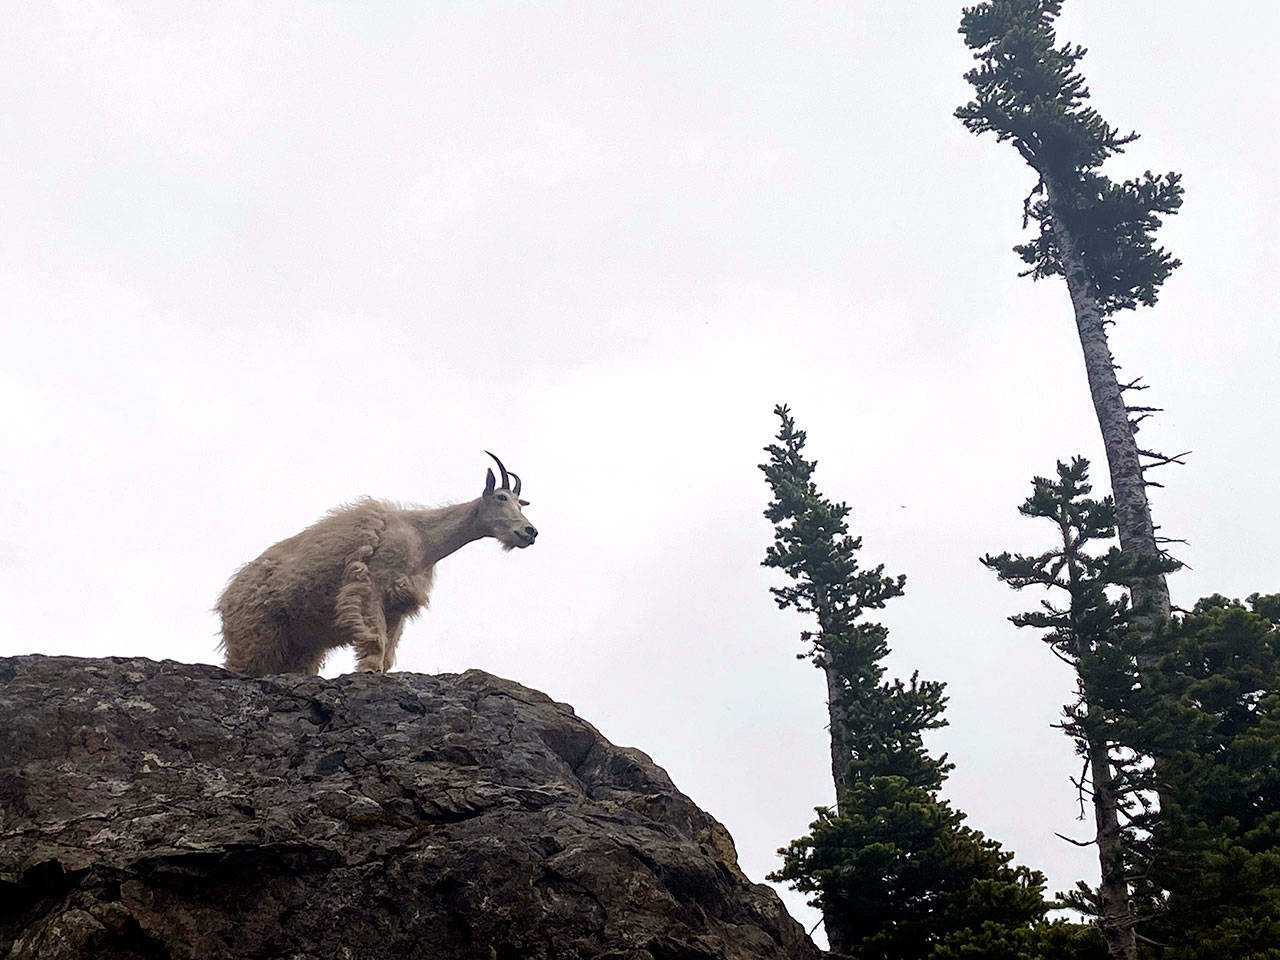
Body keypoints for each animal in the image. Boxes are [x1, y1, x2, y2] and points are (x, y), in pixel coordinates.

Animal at [217, 455, 537, 675]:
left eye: (519, 503)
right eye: (501, 497)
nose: (529, 532)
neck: (422, 540)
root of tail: (226, 596)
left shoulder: (397, 605)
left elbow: (388, 650)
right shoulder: (369, 586)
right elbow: (376, 641)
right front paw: (369, 671)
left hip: (298, 644)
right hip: (256, 630)